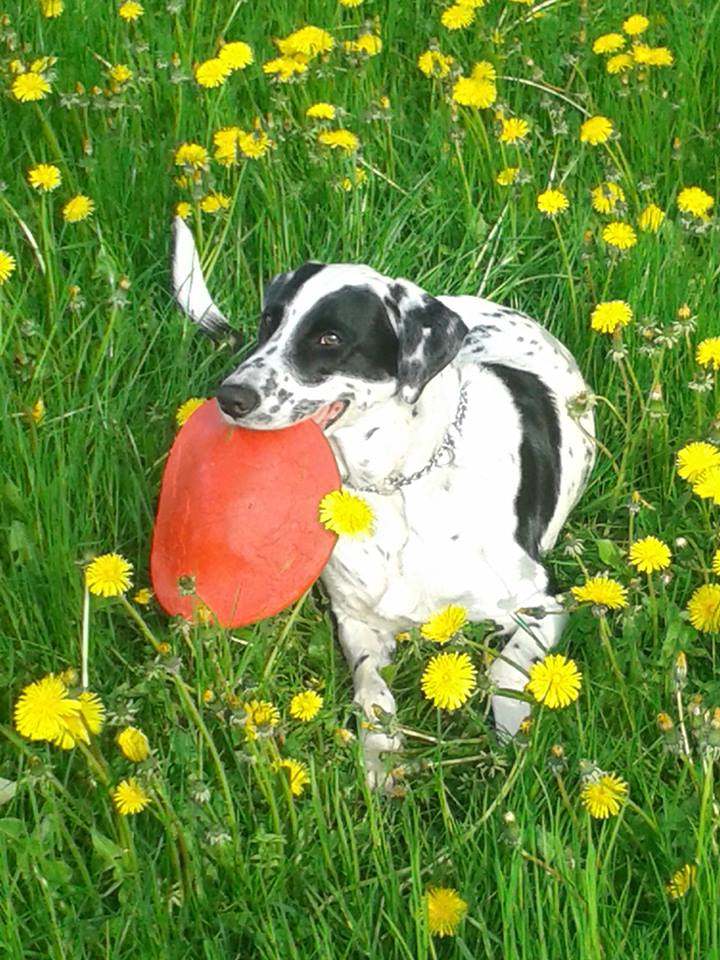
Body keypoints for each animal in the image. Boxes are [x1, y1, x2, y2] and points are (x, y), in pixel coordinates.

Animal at [170, 219, 596, 788]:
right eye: (268, 322)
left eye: (329, 338)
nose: (229, 396)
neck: (396, 486)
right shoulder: (357, 621)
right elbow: (371, 690)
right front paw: (379, 756)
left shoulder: (543, 603)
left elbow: (506, 667)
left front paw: (511, 734)